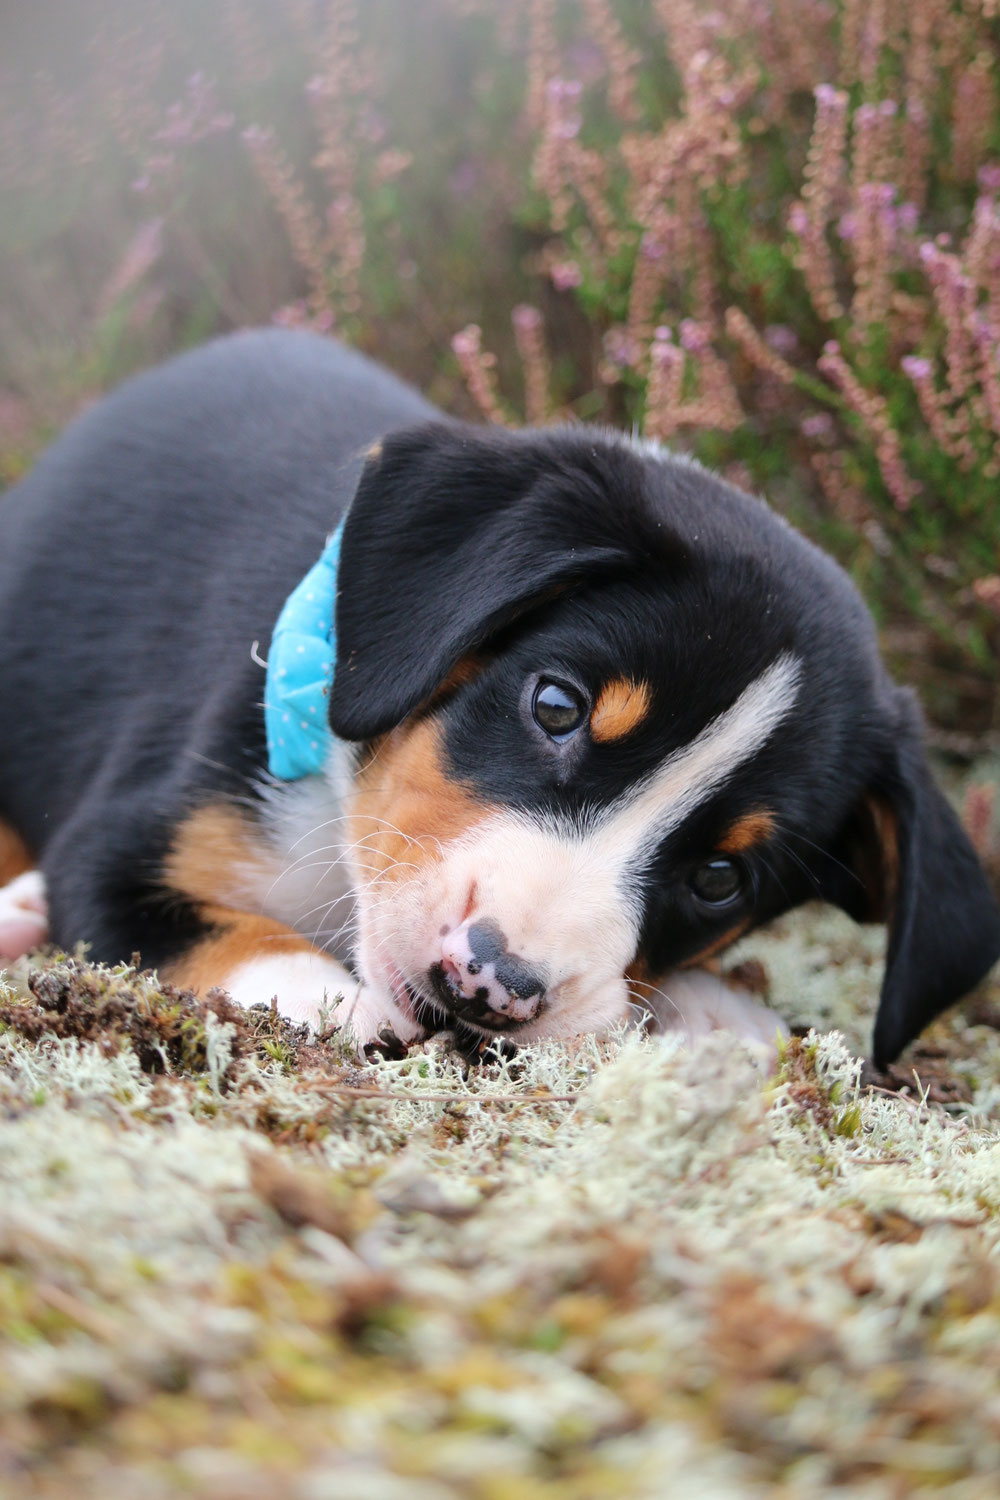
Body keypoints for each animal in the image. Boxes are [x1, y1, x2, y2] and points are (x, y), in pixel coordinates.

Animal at [0, 334, 995, 1074]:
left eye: (720, 878)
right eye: (555, 705)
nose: (488, 982)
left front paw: (715, 1010)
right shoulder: (123, 845)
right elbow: (228, 938)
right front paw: (333, 1001)